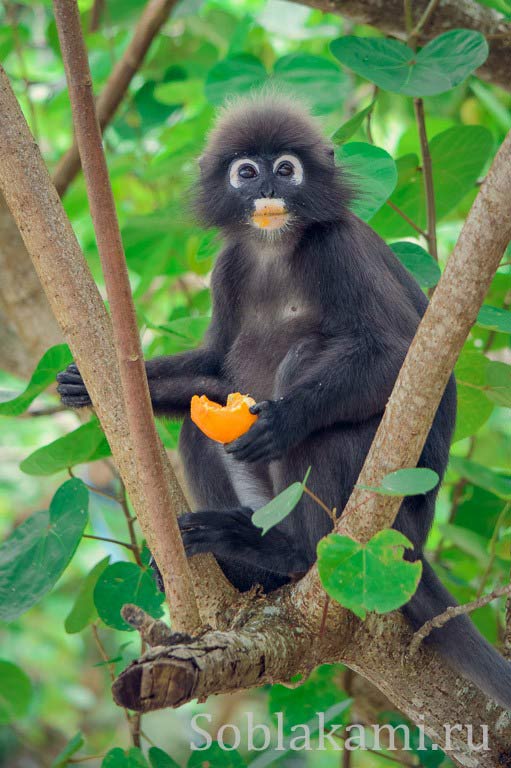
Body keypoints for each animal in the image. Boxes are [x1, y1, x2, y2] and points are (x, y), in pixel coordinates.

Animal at [57, 94, 511, 708]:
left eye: (286, 169)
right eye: (247, 172)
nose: (268, 187)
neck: (273, 250)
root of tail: (416, 543)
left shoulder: (338, 245)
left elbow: (396, 356)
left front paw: (281, 420)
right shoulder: (227, 269)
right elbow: (216, 370)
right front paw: (90, 383)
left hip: (384, 501)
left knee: (313, 379)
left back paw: (289, 552)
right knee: (200, 427)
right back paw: (248, 566)